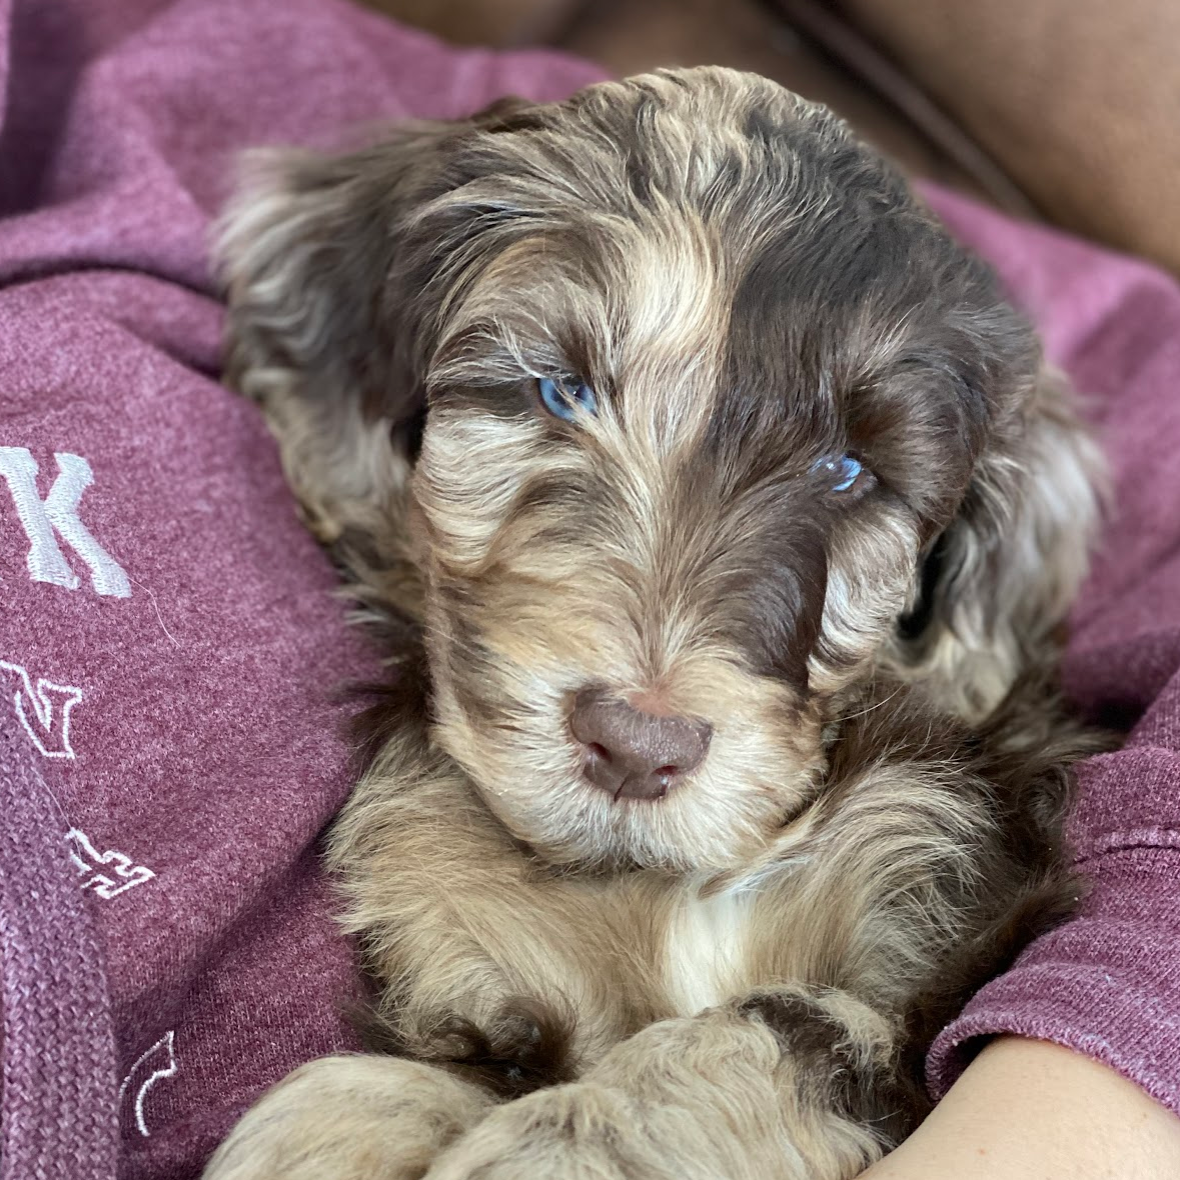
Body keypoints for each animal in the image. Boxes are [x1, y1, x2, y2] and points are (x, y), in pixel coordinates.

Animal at [205, 69, 1104, 1180]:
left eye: (848, 472)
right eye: (561, 391)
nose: (638, 745)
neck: (668, 881)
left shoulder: (950, 923)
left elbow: (774, 1030)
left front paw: (556, 1146)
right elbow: (403, 1079)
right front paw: (324, 1133)